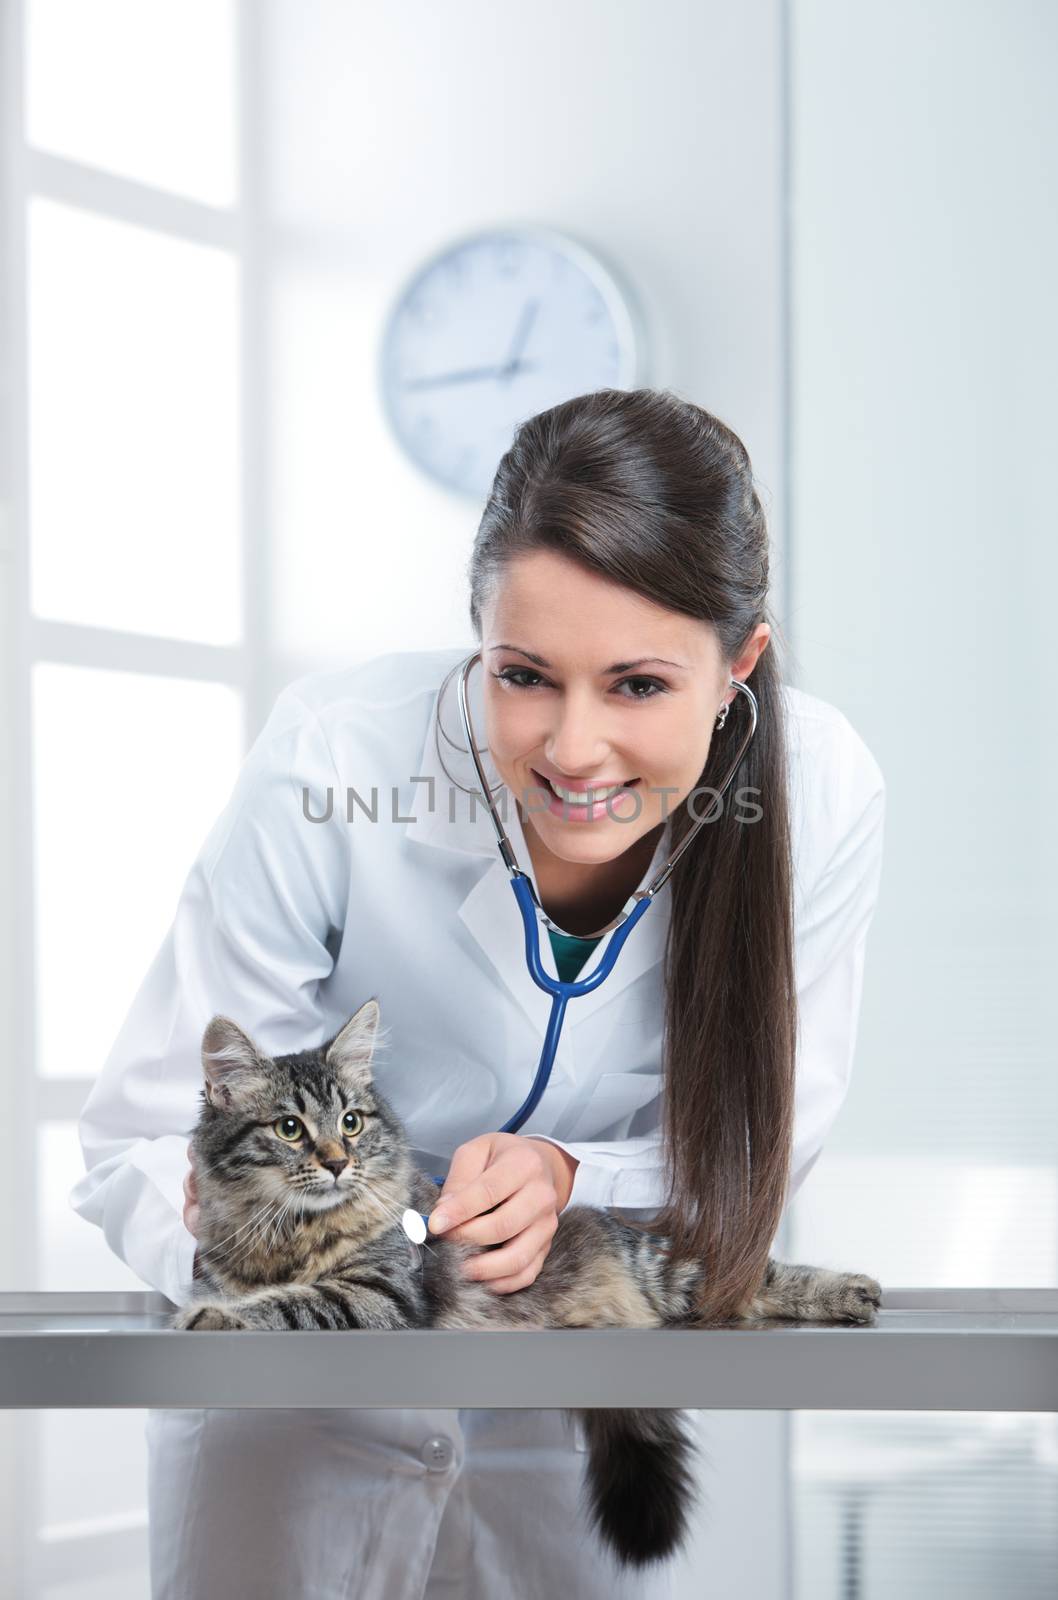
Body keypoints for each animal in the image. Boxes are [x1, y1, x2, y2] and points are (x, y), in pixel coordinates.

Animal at [175, 998, 883, 1561]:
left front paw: (219, 1317)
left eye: (351, 1121)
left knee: (752, 1279)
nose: (337, 1162)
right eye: (289, 1129)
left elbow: (290, 1303)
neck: (290, 1232)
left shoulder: (381, 1294)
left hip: (672, 1270)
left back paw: (853, 1291)